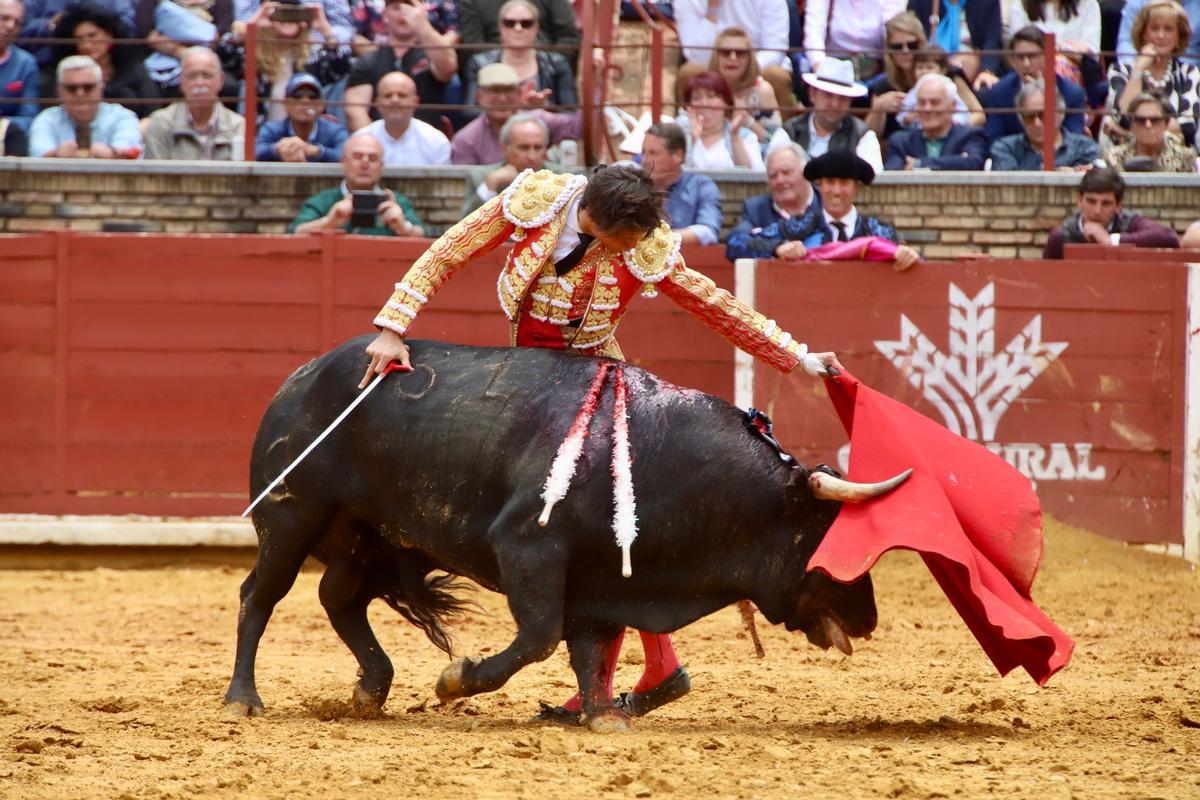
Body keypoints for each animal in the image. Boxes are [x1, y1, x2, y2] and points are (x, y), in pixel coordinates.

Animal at [225, 338, 902, 734]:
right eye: (830, 537)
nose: (868, 618)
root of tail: (302, 374)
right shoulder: (529, 549)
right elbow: (541, 637)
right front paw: (454, 681)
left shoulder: (602, 577)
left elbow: (588, 647)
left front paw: (602, 716)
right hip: (291, 517)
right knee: (261, 594)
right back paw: (243, 698)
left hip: (368, 538)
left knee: (338, 598)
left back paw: (372, 686)